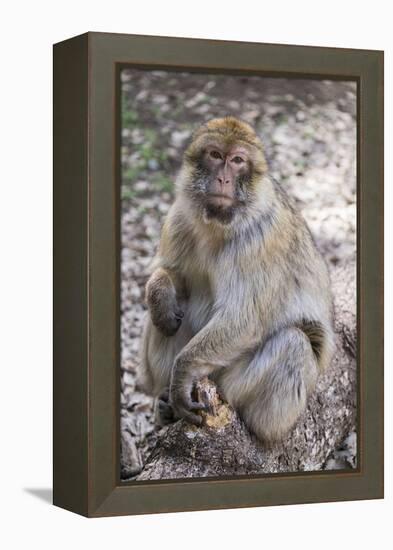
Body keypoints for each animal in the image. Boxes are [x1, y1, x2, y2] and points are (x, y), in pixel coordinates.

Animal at [139, 117, 332, 444]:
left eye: (238, 161)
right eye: (216, 155)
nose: (223, 179)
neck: (217, 225)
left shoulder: (259, 240)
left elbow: (244, 319)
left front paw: (181, 376)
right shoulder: (179, 218)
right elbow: (173, 276)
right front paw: (160, 290)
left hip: (237, 385)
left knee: (295, 342)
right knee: (163, 319)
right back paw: (164, 403)